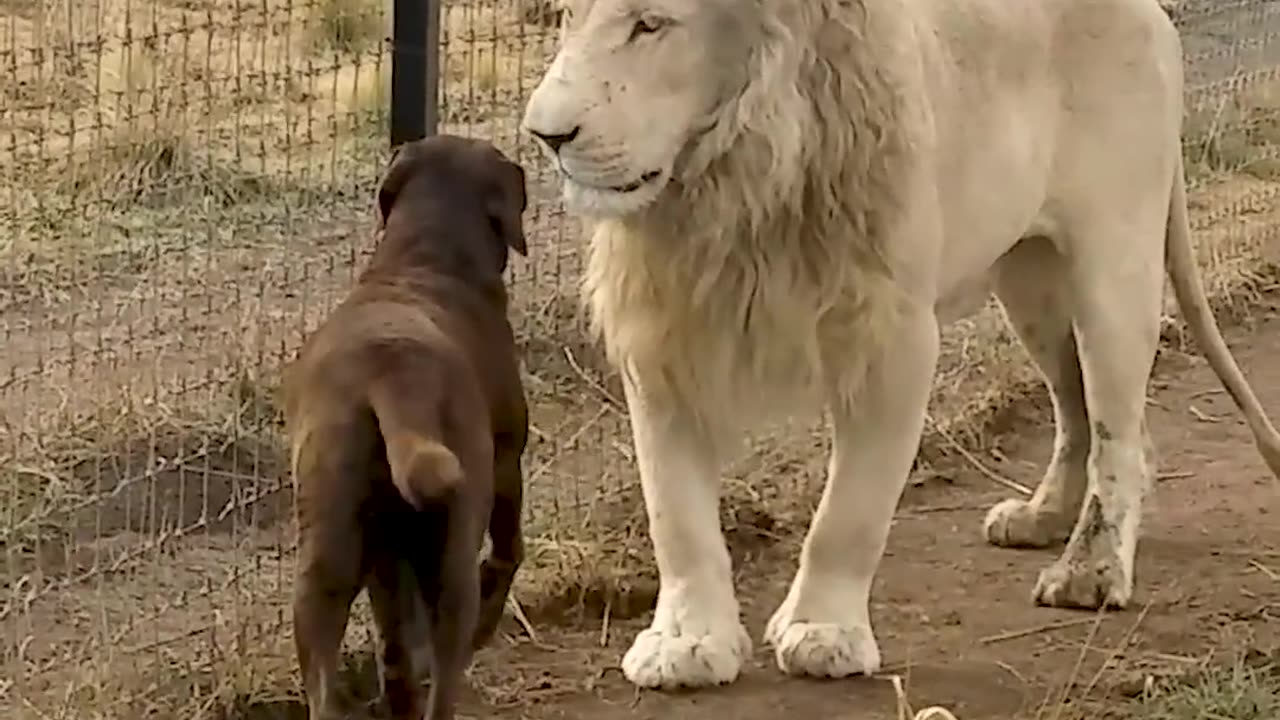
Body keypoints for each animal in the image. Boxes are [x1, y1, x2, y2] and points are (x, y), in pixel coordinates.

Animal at [284, 134, 529, 717]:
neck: (423, 257)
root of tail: (391, 374)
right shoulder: (509, 465)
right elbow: (508, 551)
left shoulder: (385, 558)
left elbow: (392, 636)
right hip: (451, 557)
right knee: (447, 668)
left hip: (326, 558)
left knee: (341, 676)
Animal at [517, 0, 1280, 691]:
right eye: (566, 17)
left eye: (650, 24)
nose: (544, 135)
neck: (732, 188)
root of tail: (1152, 11)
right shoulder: (665, 338)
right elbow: (675, 513)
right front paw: (686, 643)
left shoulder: (894, 337)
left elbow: (849, 511)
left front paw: (822, 631)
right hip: (1028, 281)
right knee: (1077, 412)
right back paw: (1041, 517)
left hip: (1112, 266)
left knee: (1122, 434)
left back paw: (1090, 571)